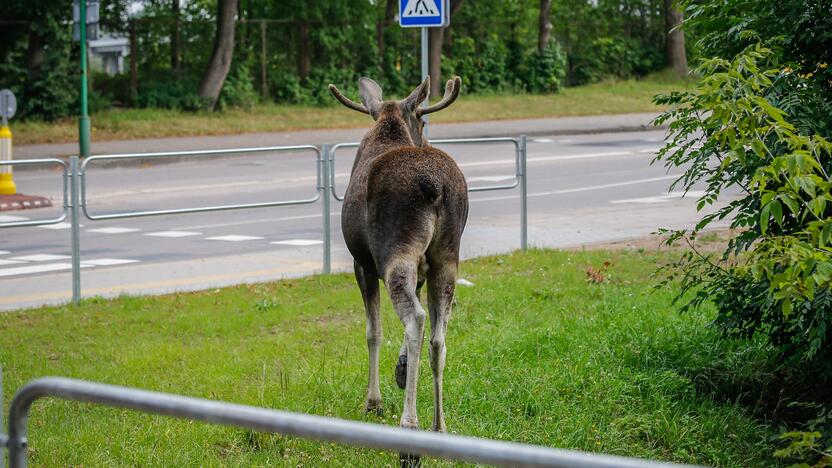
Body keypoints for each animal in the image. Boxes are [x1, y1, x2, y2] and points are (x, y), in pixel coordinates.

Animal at [326, 76, 468, 438]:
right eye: (422, 121)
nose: (426, 136)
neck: (387, 123)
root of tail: (437, 187)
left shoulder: (361, 264)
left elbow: (372, 332)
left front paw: (373, 401)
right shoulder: (423, 270)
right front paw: (401, 370)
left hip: (396, 255)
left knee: (416, 319)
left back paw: (410, 421)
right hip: (447, 258)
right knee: (438, 336)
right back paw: (439, 425)